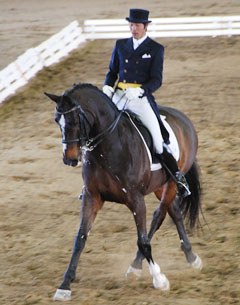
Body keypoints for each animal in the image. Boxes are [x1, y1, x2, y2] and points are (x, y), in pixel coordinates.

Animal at [44, 82, 202, 300]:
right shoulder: (92, 197)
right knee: (175, 212)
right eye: (56, 120)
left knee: (159, 215)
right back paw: (190, 256)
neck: (107, 146)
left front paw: (160, 280)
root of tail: (182, 117)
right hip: (160, 186)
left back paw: (136, 266)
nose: (70, 158)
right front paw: (65, 285)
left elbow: (142, 241)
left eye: (75, 119)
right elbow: (80, 238)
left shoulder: (136, 200)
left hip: (171, 182)